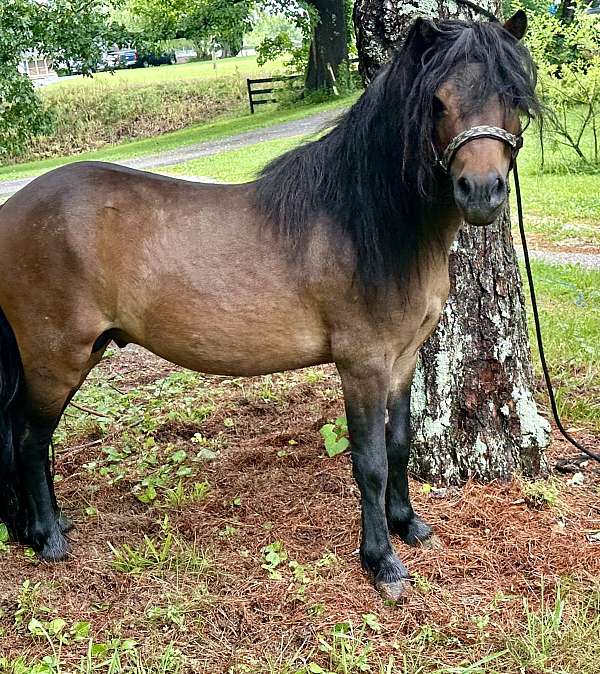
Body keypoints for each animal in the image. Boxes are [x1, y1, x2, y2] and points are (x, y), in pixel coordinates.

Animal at [0, 11, 538, 600]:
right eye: (437, 102)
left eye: (511, 95)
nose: (481, 192)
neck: (368, 221)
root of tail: (14, 210)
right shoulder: (363, 365)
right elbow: (370, 461)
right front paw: (382, 561)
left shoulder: (402, 361)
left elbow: (399, 444)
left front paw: (409, 525)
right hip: (56, 357)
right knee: (29, 436)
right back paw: (48, 537)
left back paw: (40, 525)